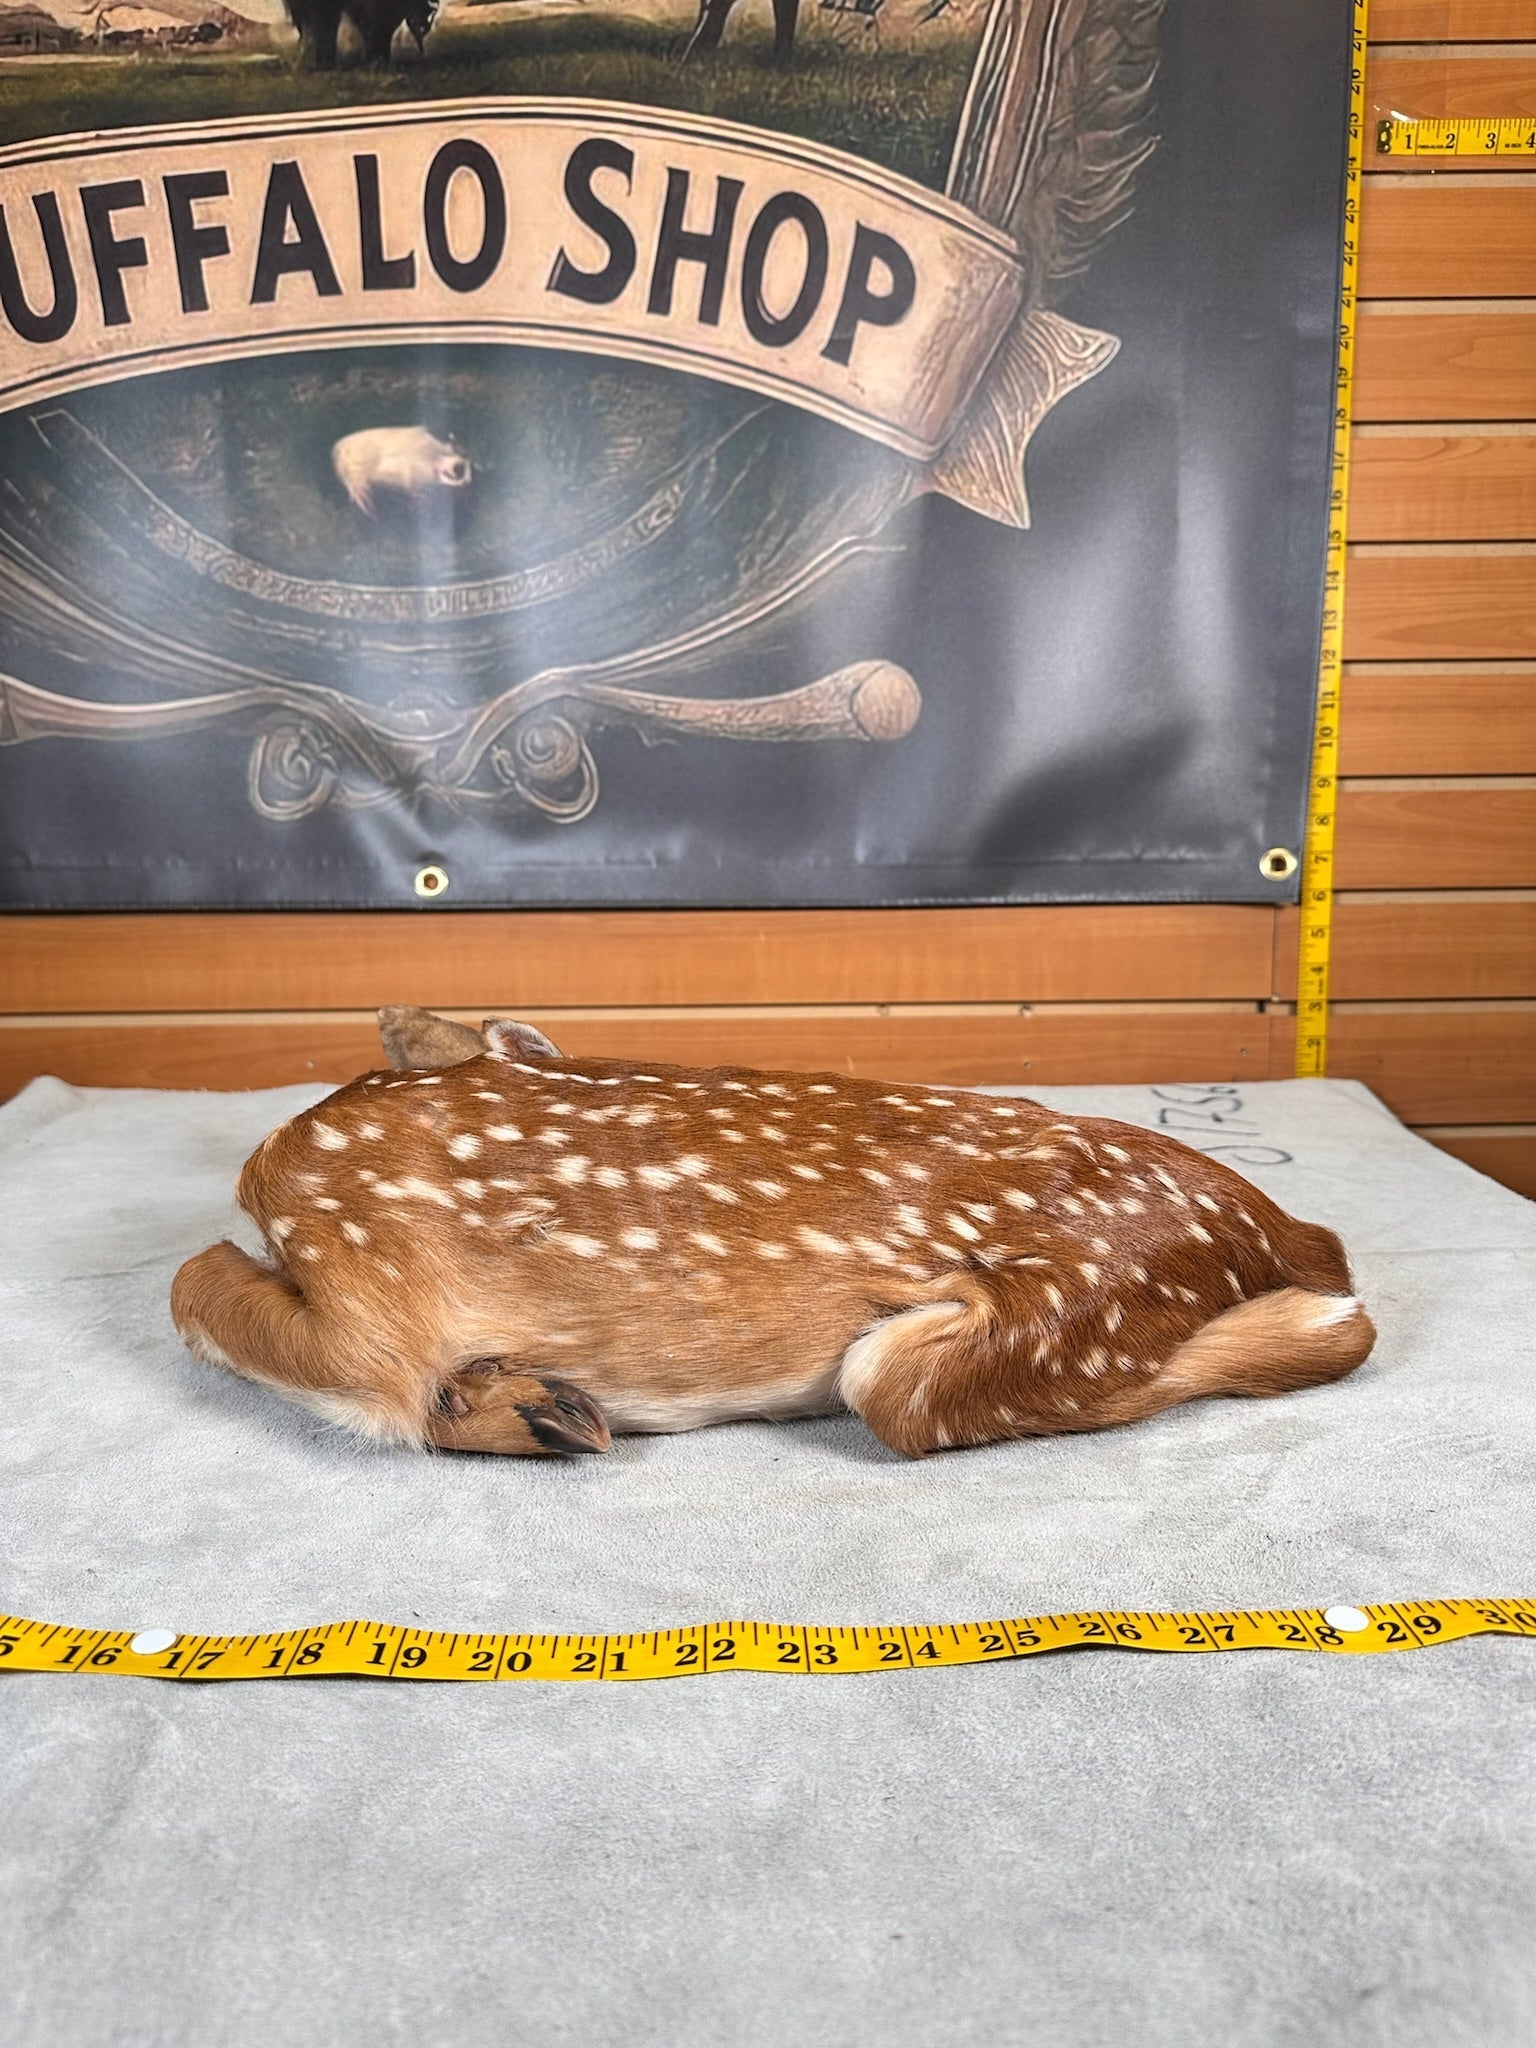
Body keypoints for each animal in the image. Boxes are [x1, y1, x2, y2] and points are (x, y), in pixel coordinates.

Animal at [170, 1009, 1375, 1459]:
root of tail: (1283, 1227)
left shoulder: (372, 1309)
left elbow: (196, 1283)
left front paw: (505, 1402)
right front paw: (520, 1397)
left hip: (966, 1346)